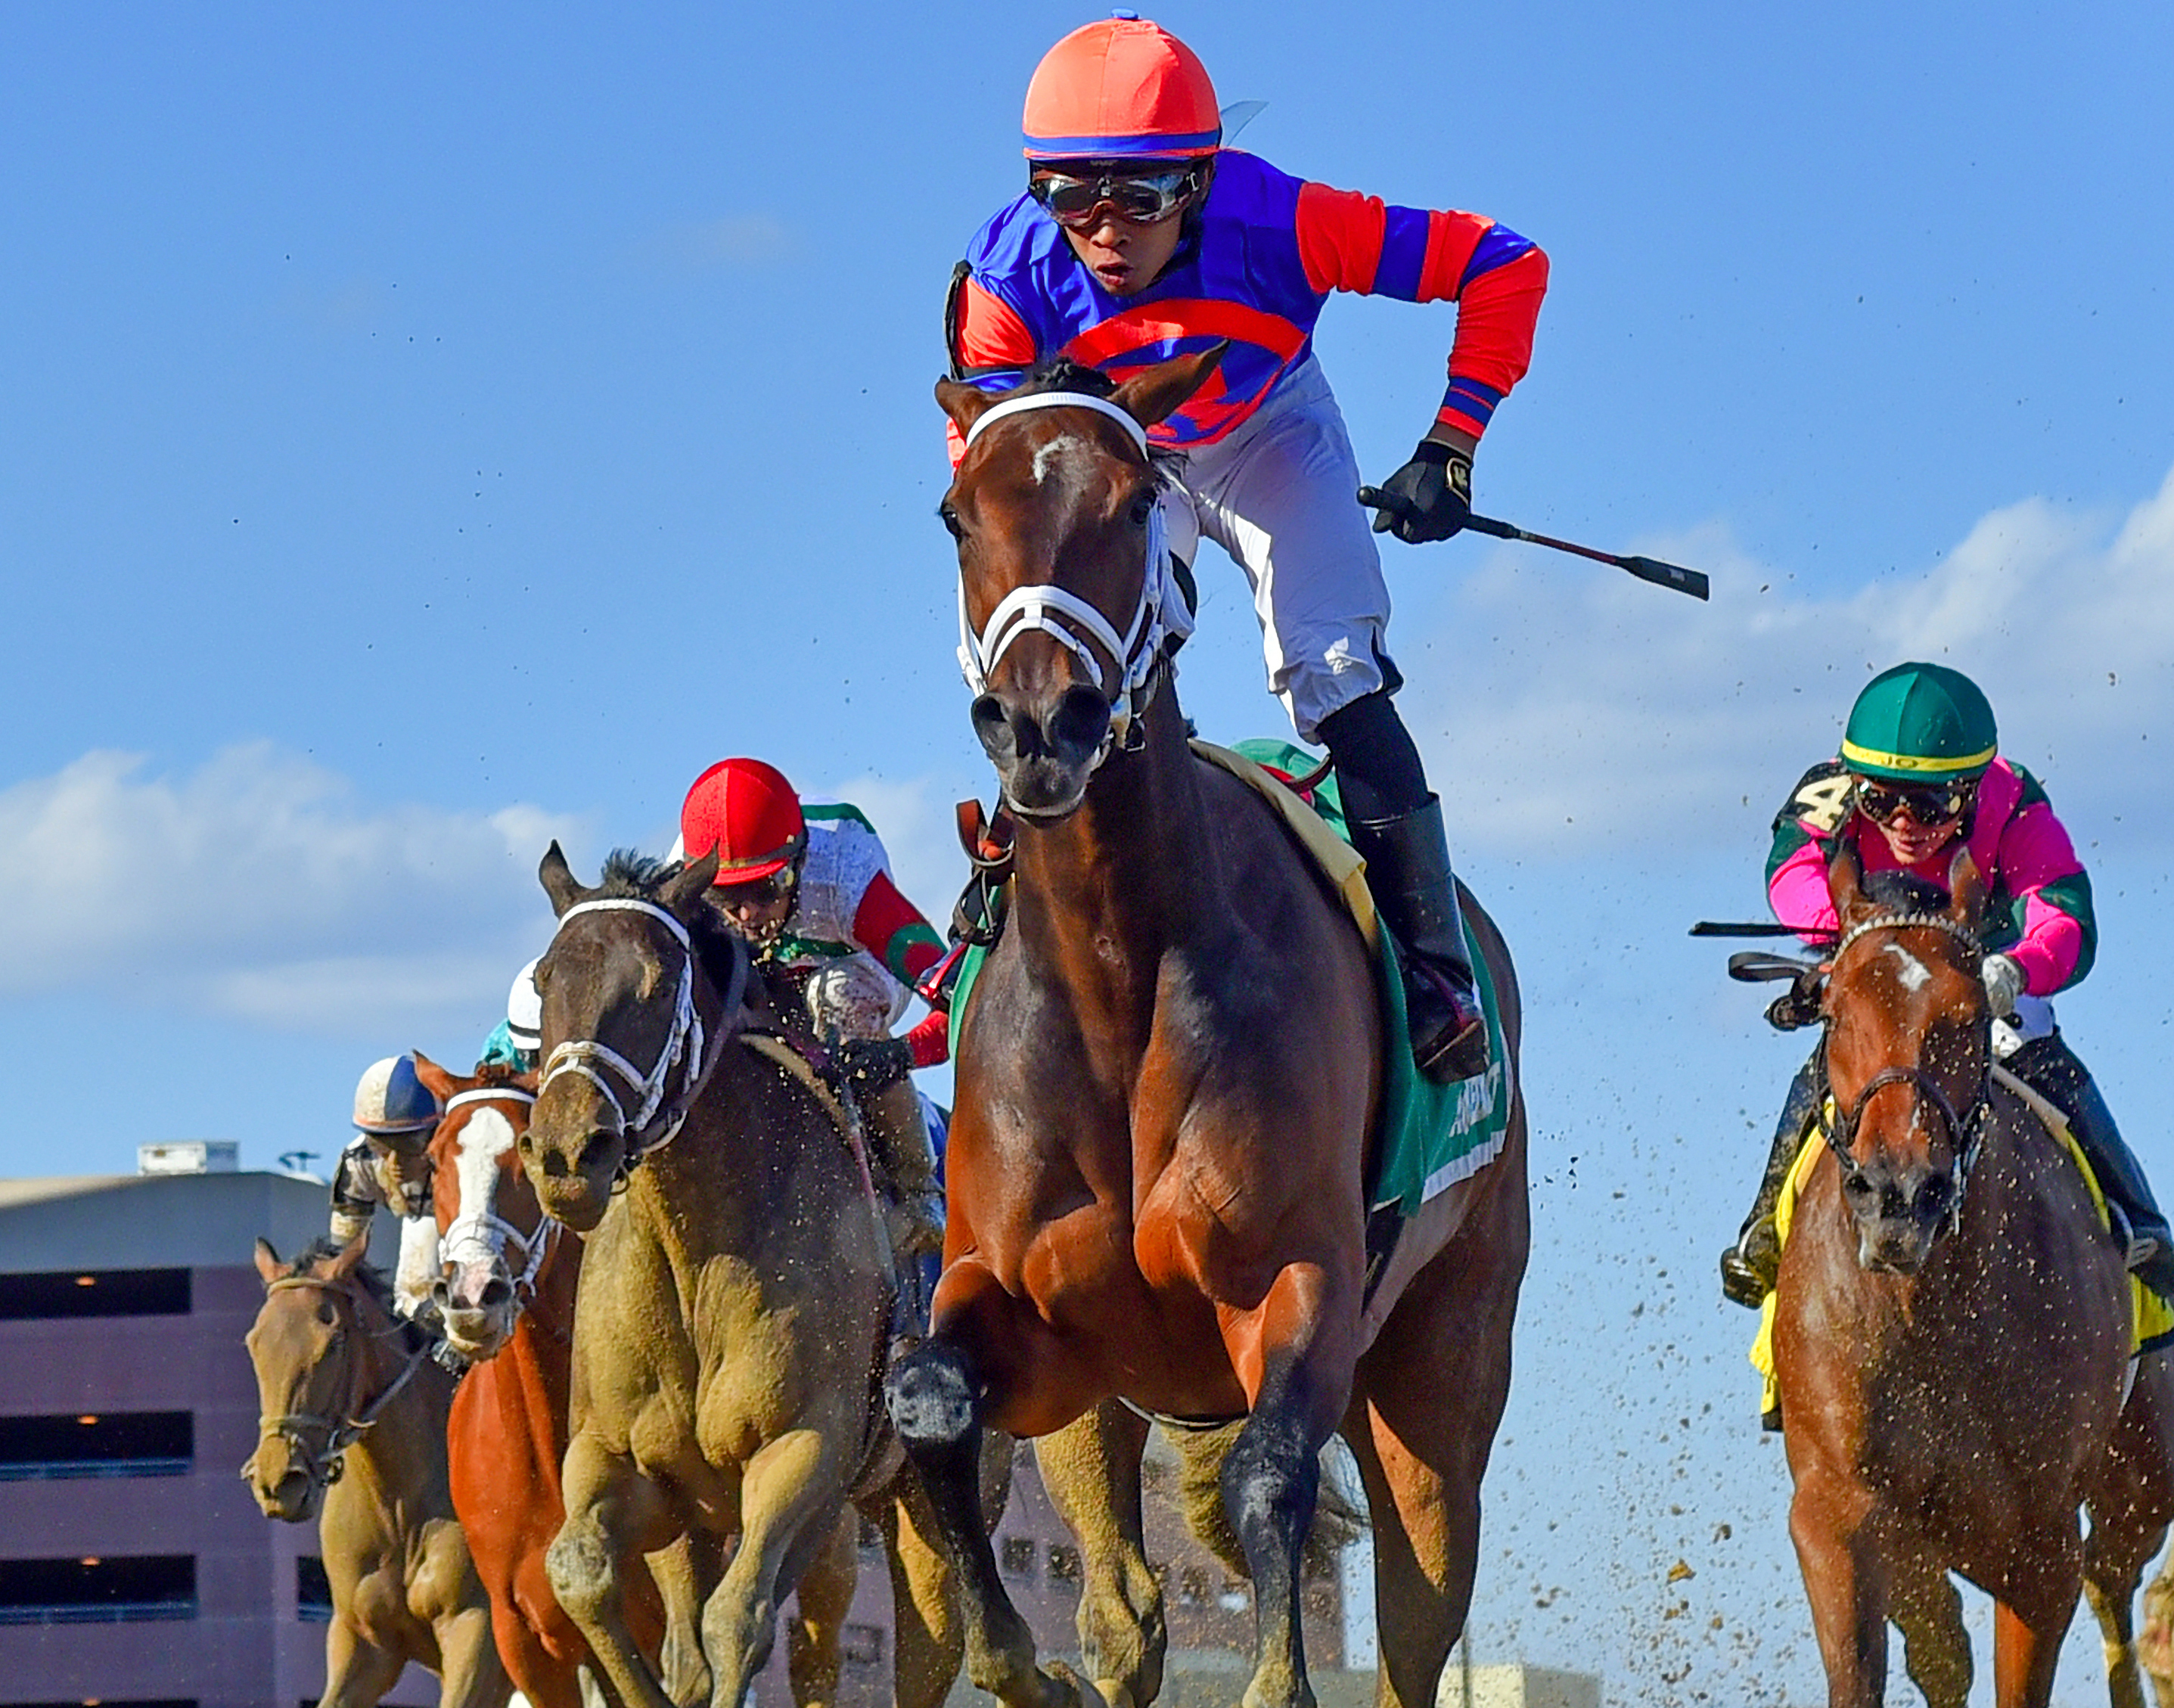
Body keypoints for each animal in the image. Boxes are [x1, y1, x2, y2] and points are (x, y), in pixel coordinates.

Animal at [247, 1234, 513, 1703]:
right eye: (255, 1343)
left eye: (334, 1342)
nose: (278, 1481)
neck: (399, 1508)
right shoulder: (363, 1644)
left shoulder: (477, 1633)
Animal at [521, 852, 995, 1703]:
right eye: (546, 978)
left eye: (656, 985)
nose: (567, 1154)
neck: (695, 1257)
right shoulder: (619, 1462)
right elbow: (581, 1573)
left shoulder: (803, 1452)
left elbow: (737, 1618)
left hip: (926, 1495)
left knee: (933, 1639)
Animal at [882, 345, 1530, 1703]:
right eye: (957, 514)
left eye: (1135, 505)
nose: (1043, 723)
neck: (1114, 983)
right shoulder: (1021, 1307)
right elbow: (929, 1406)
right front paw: (1019, 1667)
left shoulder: (1297, 1285)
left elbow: (1267, 1481)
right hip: (1104, 1399)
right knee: (1123, 1602)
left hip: (1439, 1375)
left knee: (1416, 1606)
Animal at [1765, 843, 2174, 1694]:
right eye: (1836, 1014)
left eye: (1969, 1018)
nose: (1899, 1192)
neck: (1930, 1313)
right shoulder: (1839, 1517)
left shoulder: (2040, 1544)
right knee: (1946, 1652)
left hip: (2141, 1479)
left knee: (2117, 1585)